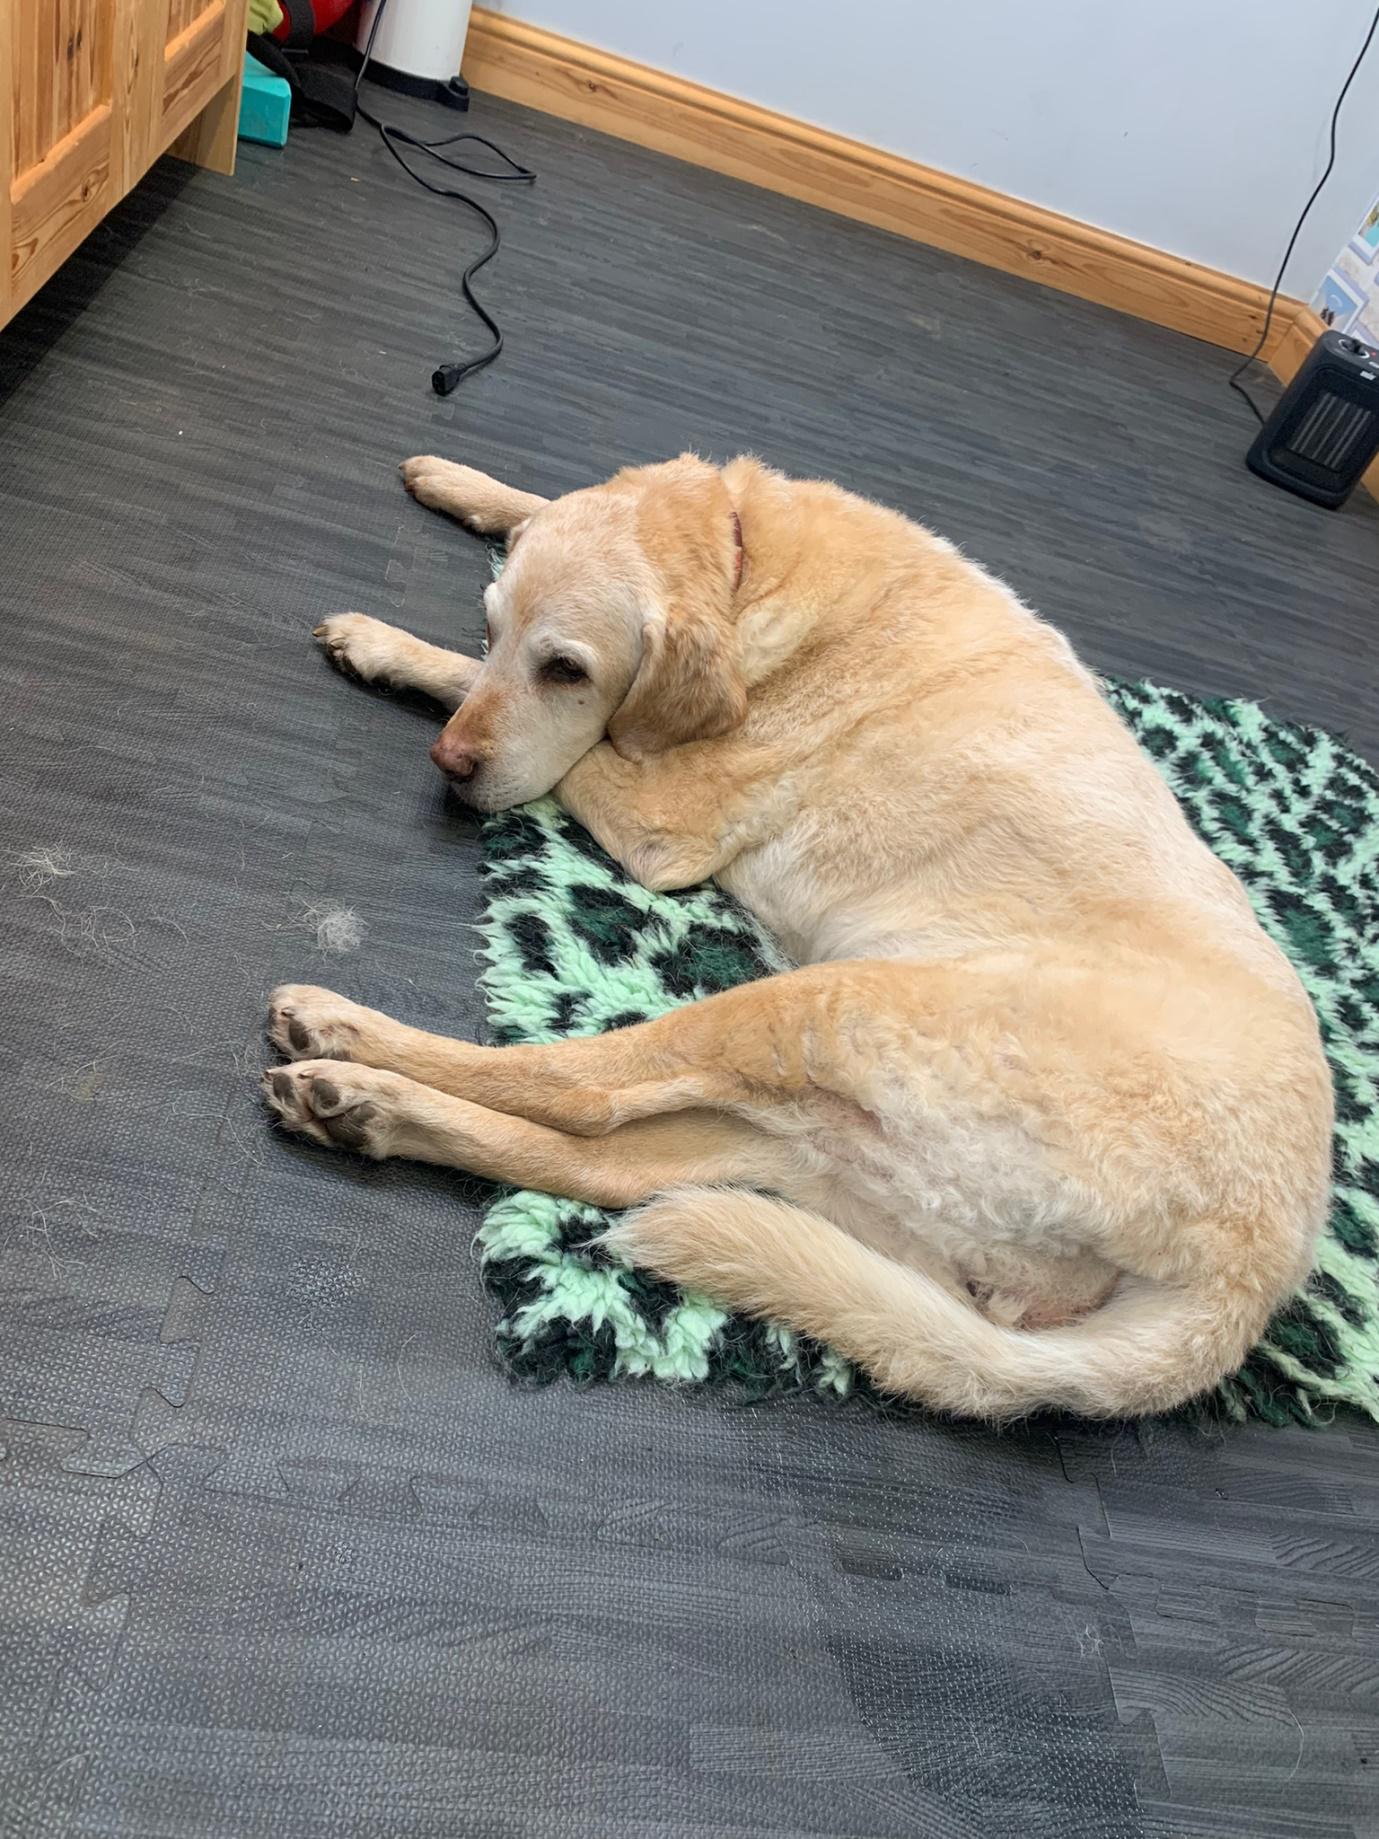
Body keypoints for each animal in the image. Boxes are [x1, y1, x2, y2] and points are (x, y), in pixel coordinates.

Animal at [264, 452, 1331, 1412]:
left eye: (565, 668)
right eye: (497, 629)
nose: (451, 766)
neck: (751, 569)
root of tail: (1242, 1285)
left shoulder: (661, 825)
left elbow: (523, 715)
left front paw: (396, 646)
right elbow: (535, 500)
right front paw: (455, 487)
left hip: (820, 1006)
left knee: (576, 1089)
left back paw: (343, 1038)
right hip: (821, 1157)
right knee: (597, 1161)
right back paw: (361, 1110)